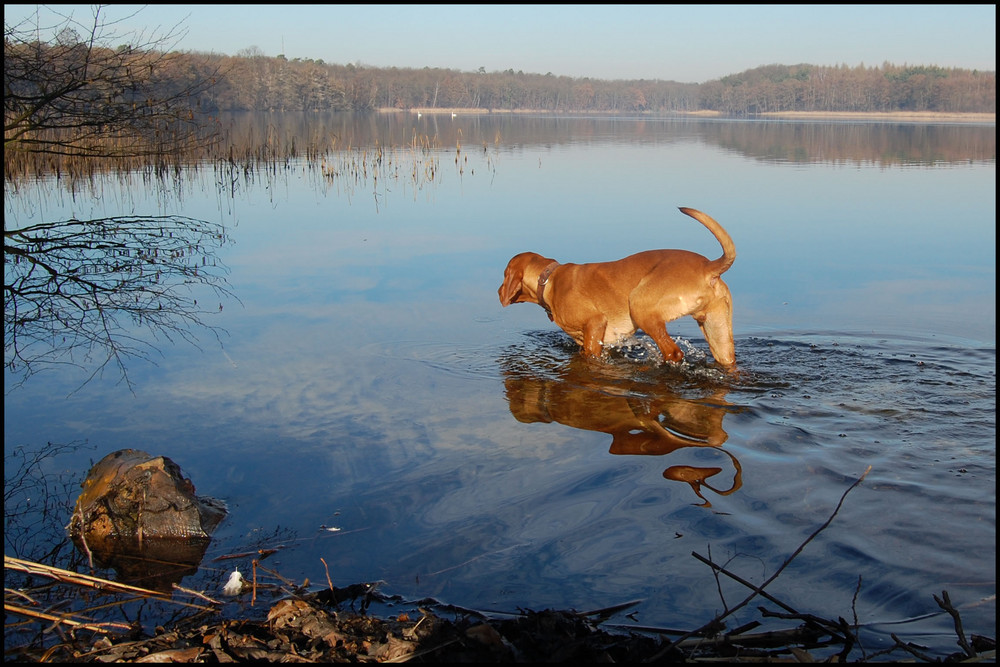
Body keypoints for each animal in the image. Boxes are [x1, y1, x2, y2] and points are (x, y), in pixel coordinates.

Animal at [498, 207, 736, 368]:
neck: (549, 281)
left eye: (504, 274)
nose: (499, 292)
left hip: (640, 307)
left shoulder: (595, 324)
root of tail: (708, 267)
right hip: (718, 333)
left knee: (673, 353)